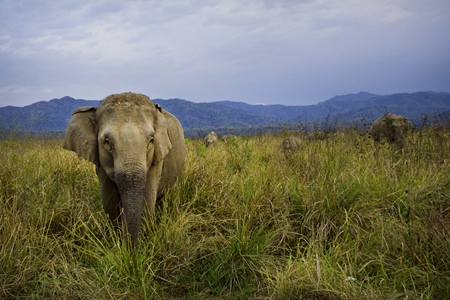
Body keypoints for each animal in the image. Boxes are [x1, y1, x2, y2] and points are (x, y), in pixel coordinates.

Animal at [62, 92, 185, 246]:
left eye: (151, 140)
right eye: (107, 142)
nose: (132, 251)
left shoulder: (157, 158)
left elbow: (146, 205)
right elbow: (110, 204)